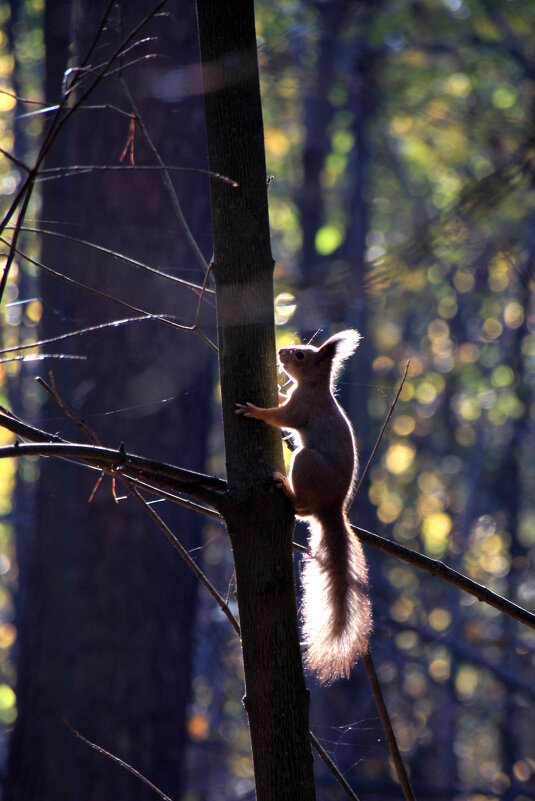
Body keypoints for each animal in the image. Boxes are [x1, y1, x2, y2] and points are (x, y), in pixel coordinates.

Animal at [237, 324, 370, 680]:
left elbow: (283, 417)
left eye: (300, 355)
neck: (314, 387)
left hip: (305, 462)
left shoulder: (303, 408)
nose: (282, 351)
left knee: (302, 508)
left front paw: (255, 410)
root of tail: (332, 509)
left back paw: (286, 488)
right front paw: (276, 392)